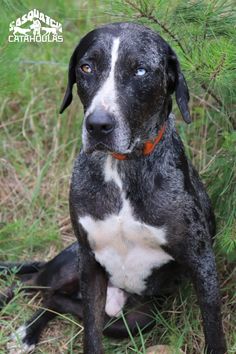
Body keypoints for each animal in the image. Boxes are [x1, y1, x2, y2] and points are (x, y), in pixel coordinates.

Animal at [3, 22, 226, 354]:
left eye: (141, 70)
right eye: (86, 67)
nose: (98, 125)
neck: (121, 168)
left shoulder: (202, 264)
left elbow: (214, 331)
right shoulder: (89, 260)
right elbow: (91, 334)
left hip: (137, 320)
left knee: (56, 299)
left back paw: (31, 330)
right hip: (68, 267)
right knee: (30, 286)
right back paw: (28, 328)